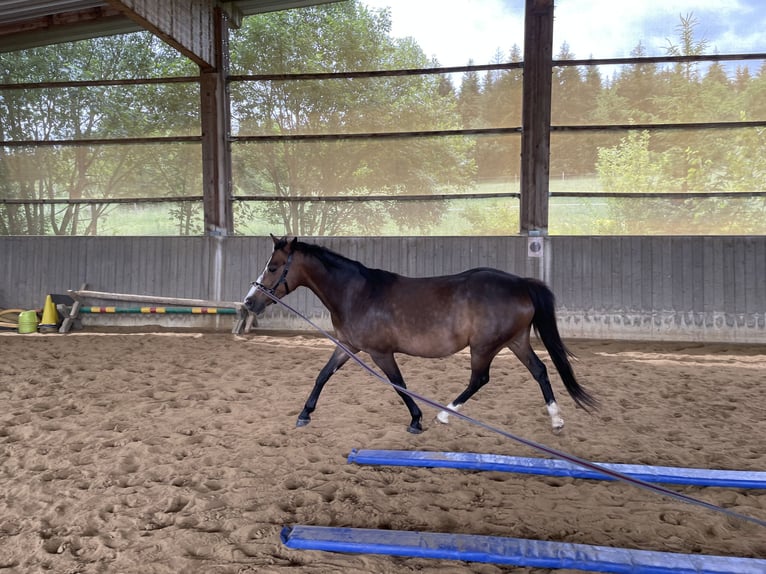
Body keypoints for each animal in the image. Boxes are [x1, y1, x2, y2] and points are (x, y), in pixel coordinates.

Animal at [244, 235, 597, 434]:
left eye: (273, 267)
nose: (249, 301)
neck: (356, 293)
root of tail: (522, 283)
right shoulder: (347, 346)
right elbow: (322, 375)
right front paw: (305, 413)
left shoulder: (380, 352)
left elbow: (397, 383)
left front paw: (416, 420)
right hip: (515, 341)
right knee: (540, 370)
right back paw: (556, 420)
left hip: (484, 346)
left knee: (480, 379)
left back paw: (444, 414)